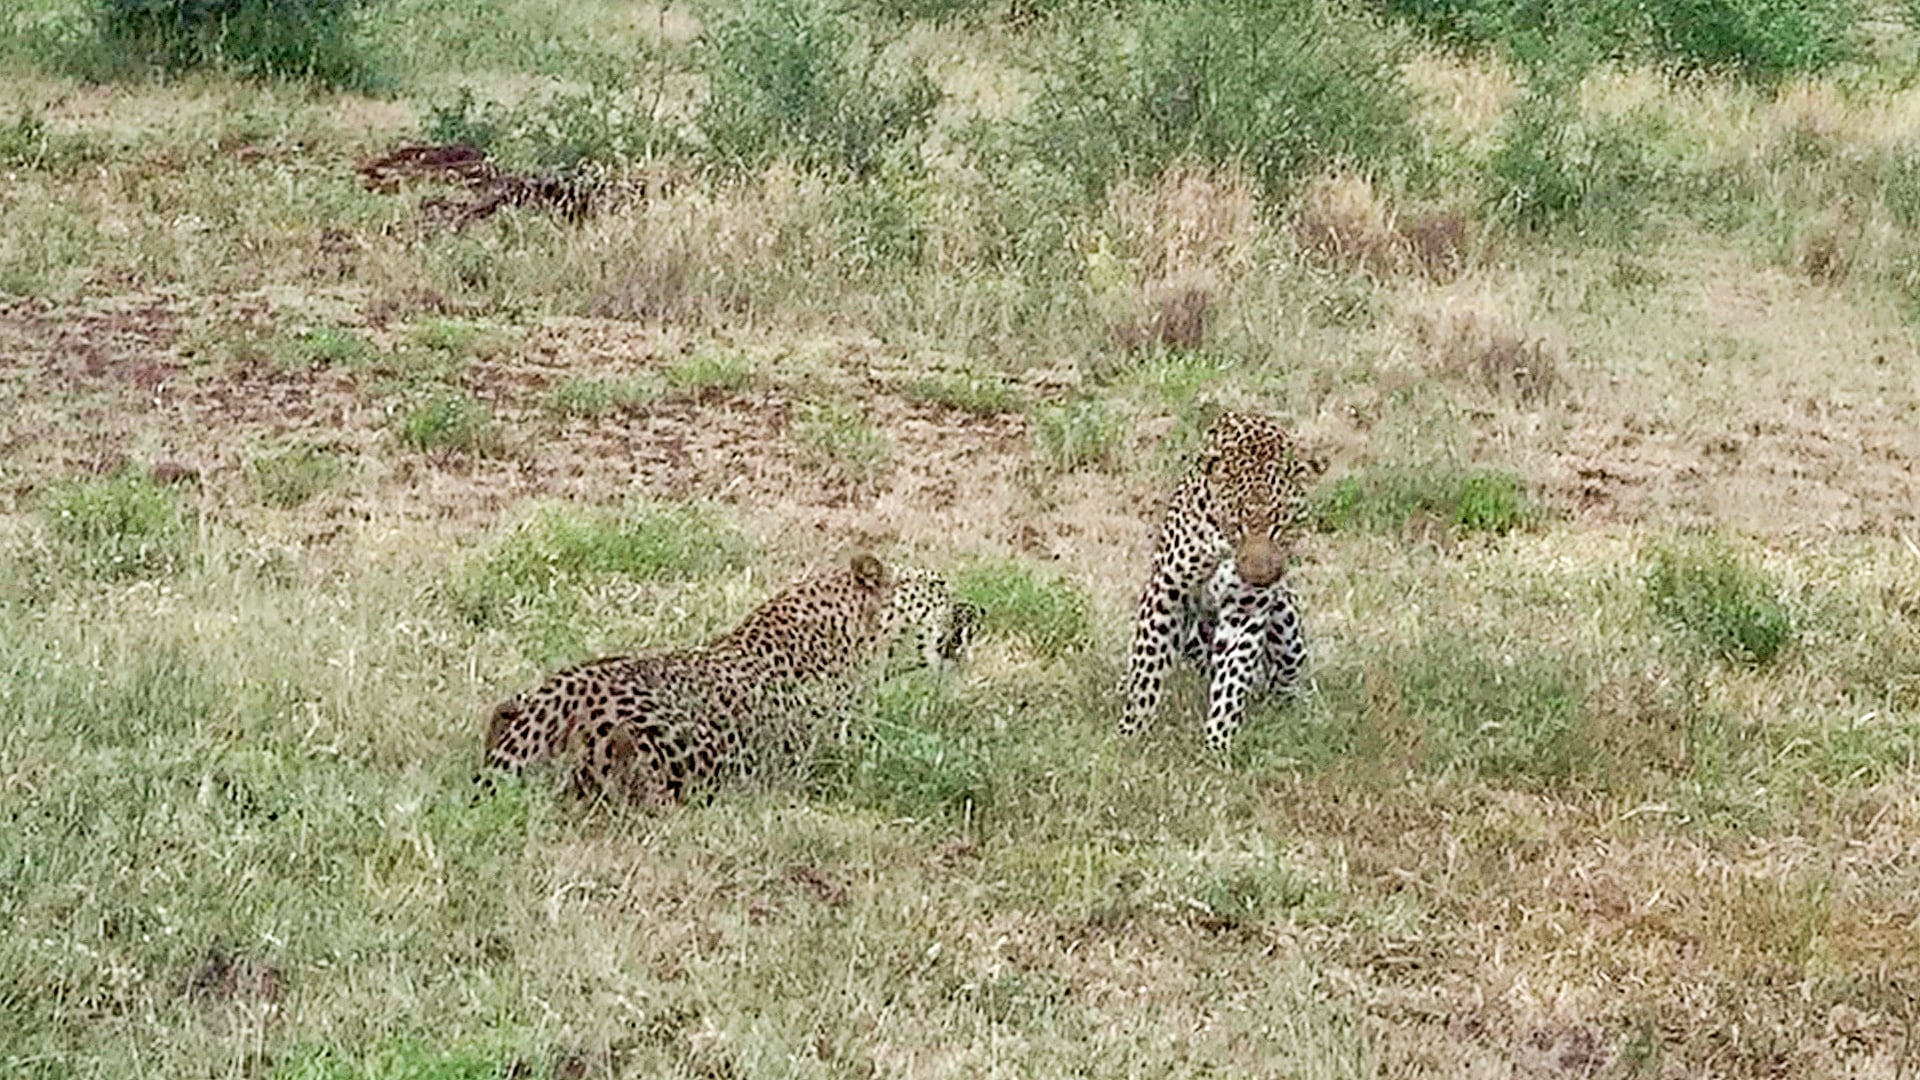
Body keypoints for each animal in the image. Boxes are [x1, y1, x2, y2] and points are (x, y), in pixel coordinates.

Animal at [1121, 410, 1324, 750]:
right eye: (1238, 523)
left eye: (1279, 524)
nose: (1259, 576)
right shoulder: (1166, 593)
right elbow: (1147, 667)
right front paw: (1131, 732)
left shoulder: (1246, 611)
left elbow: (1232, 679)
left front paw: (1217, 743)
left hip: (1286, 619)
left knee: (1281, 679)